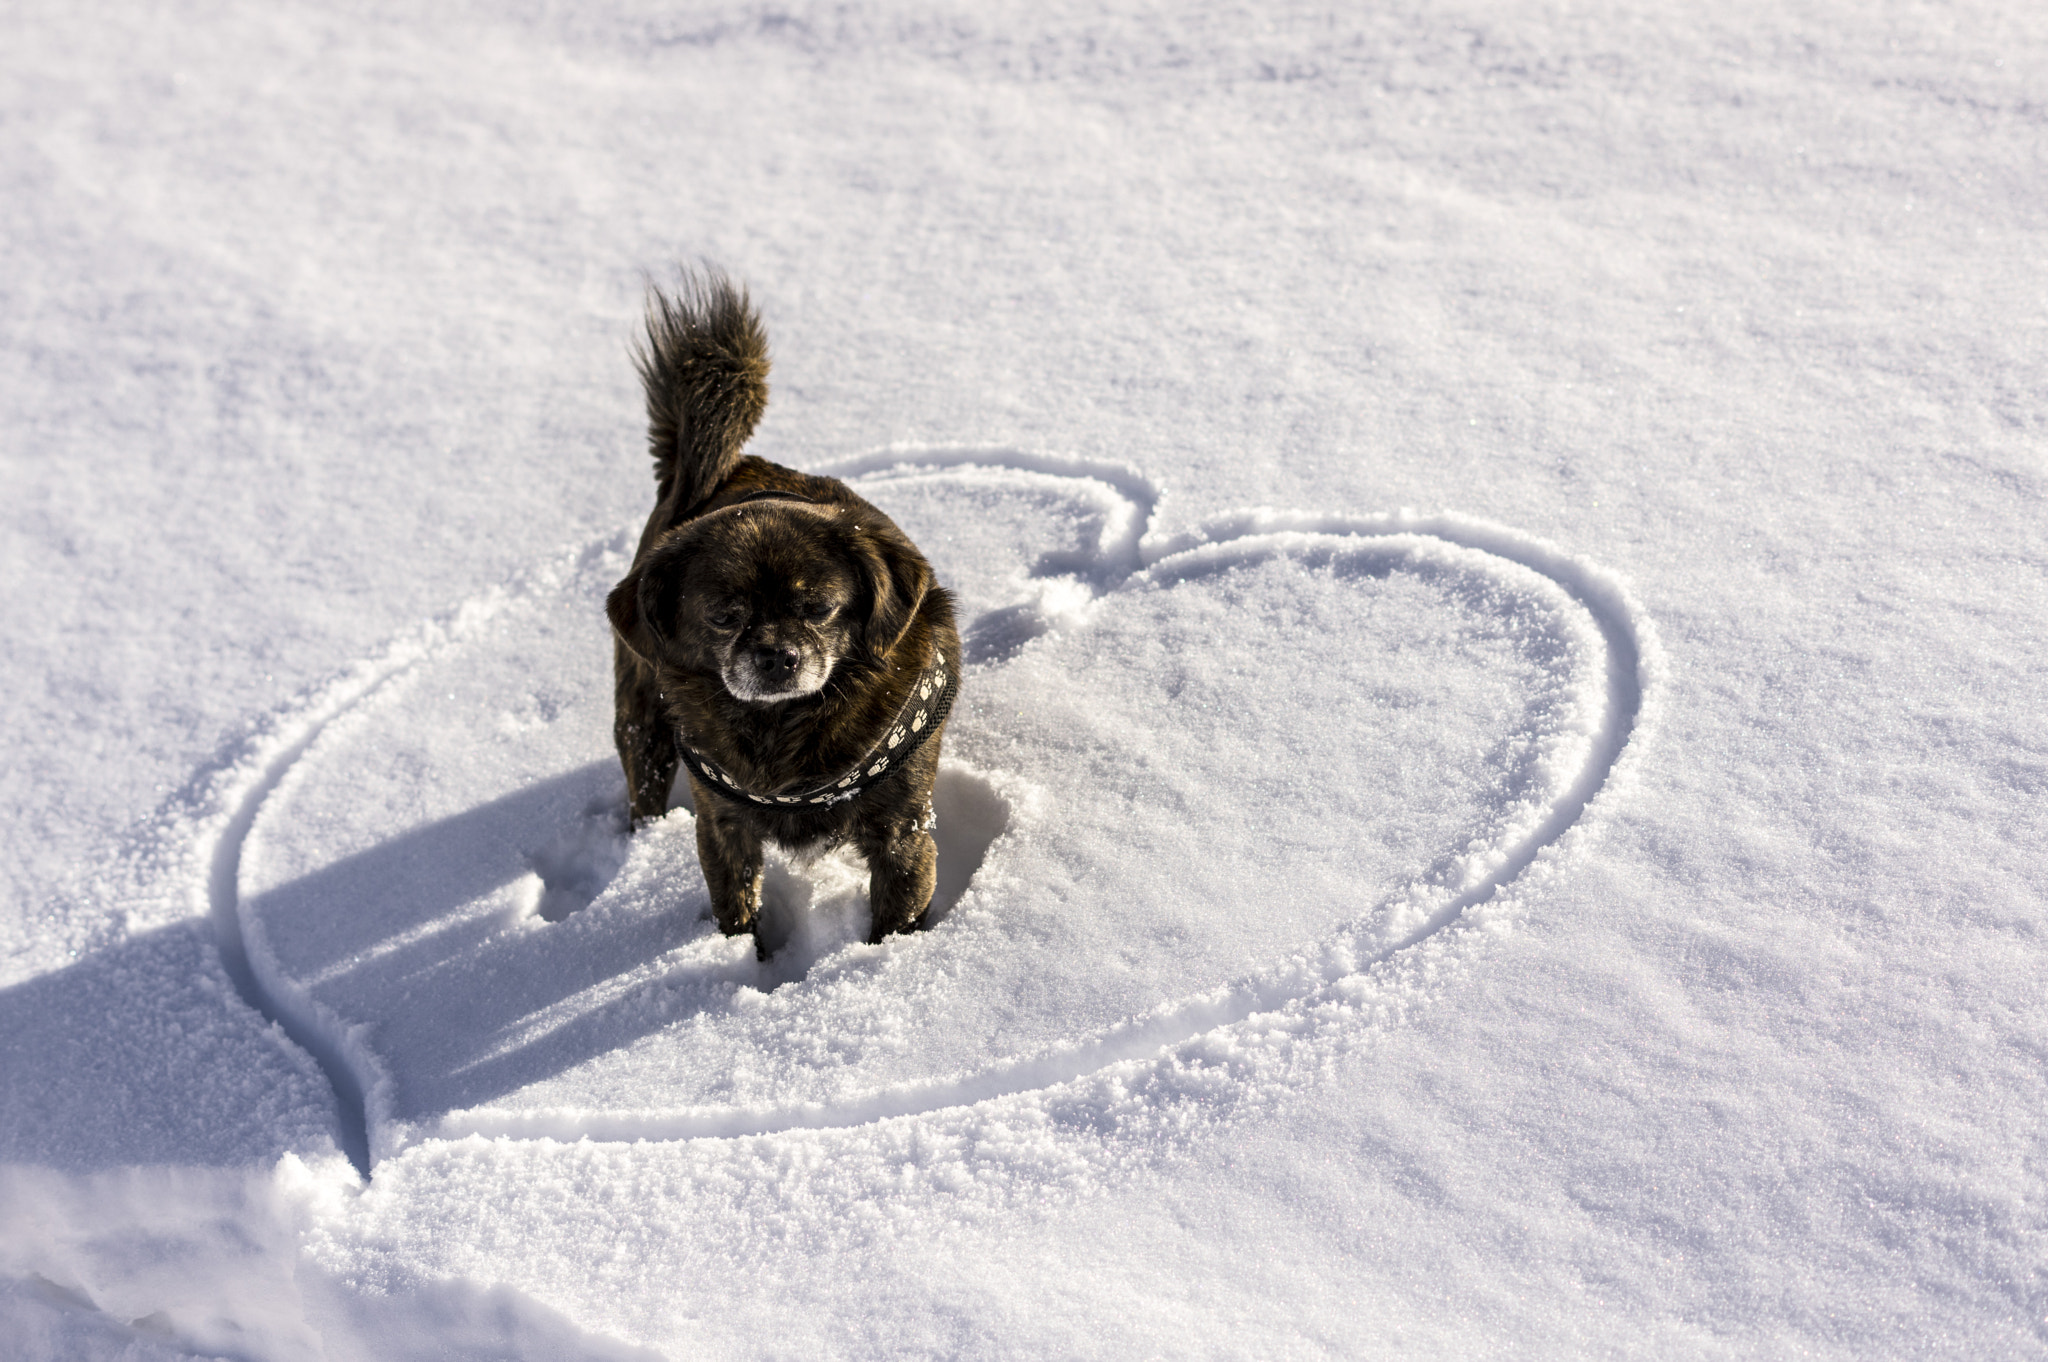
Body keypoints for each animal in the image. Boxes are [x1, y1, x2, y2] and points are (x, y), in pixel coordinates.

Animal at [602, 274, 962, 954]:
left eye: (817, 607)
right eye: (723, 617)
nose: (776, 654)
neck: (784, 727)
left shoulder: (903, 834)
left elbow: (895, 918)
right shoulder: (723, 831)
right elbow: (737, 910)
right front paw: (743, 965)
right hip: (643, 722)